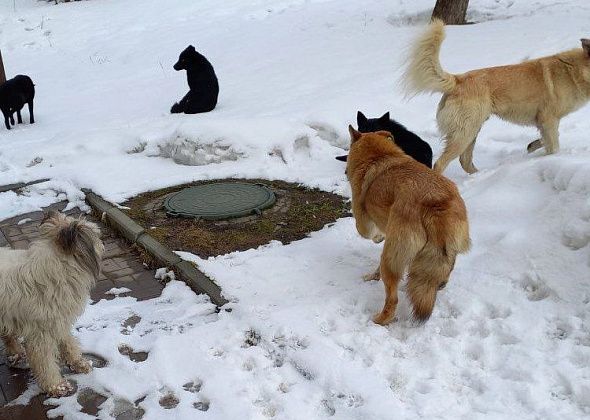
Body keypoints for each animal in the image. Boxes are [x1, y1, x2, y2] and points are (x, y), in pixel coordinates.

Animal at [0, 210, 104, 398]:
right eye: (96, 236)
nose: (102, 244)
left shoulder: (59, 320)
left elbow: (68, 343)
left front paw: (78, 362)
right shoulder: (41, 333)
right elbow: (45, 363)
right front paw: (57, 386)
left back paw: (16, 353)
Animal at [346, 125, 472, 324]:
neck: (378, 156)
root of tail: (434, 205)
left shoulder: (363, 222)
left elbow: (368, 233)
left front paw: (378, 238)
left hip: (391, 258)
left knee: (392, 300)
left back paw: (379, 320)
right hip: (439, 253)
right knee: (443, 273)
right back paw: (440, 284)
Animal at [404, 18, 590, 174]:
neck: (573, 70)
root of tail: (458, 80)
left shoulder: (545, 123)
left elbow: (547, 140)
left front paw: (532, 146)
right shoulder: (548, 119)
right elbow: (554, 147)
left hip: (472, 131)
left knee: (465, 161)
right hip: (465, 134)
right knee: (441, 164)